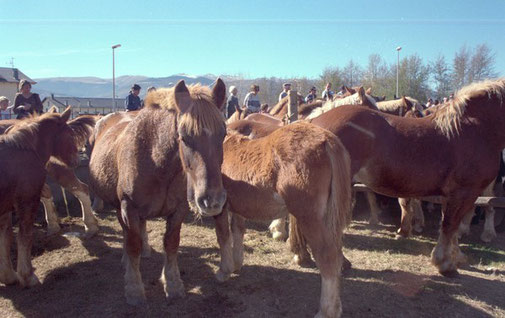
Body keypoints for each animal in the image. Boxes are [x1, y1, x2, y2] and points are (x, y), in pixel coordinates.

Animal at [0, 108, 93, 286]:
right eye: (69, 134)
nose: (77, 159)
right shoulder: (22, 201)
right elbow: (16, 236)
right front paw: (18, 276)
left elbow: (13, 236)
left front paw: (18, 275)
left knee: (82, 189)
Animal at [88, 79, 226, 306]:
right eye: (184, 137)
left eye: (223, 134)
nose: (212, 201)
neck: (155, 159)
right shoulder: (129, 207)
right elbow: (132, 244)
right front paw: (134, 289)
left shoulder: (178, 210)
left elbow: (171, 244)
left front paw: (173, 284)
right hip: (119, 205)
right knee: (127, 233)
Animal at [219, 120, 352, 316]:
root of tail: (327, 140)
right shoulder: (237, 207)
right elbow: (237, 230)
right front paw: (236, 265)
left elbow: (223, 235)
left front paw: (223, 271)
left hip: (310, 219)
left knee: (328, 257)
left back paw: (326, 311)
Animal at [300, 79, 504, 276]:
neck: (474, 127)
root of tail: (314, 121)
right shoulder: (464, 192)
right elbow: (449, 225)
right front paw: (445, 264)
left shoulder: (454, 195)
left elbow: (450, 226)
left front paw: (456, 257)